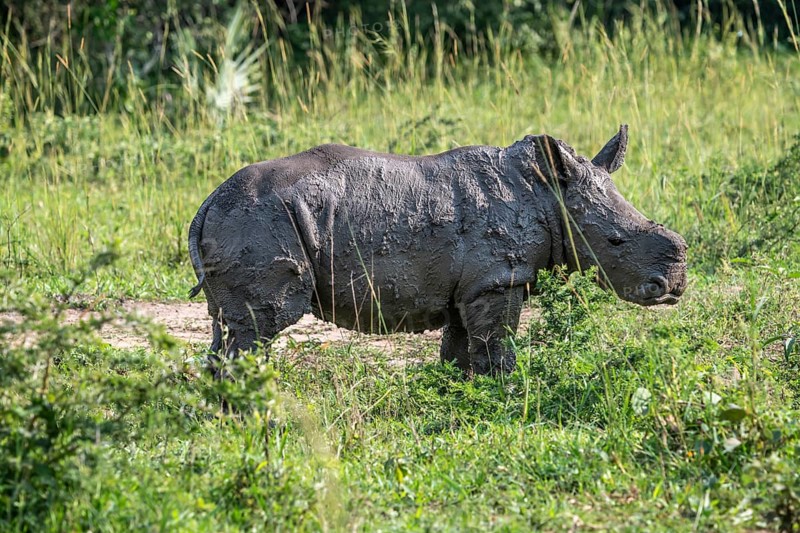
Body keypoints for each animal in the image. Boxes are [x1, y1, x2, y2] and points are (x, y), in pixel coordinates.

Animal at [188, 125, 687, 375]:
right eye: (615, 241)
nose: (674, 285)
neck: (548, 195)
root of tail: (207, 202)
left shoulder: (475, 285)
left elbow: (461, 347)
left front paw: (460, 392)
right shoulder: (497, 280)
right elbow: (496, 345)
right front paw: (505, 391)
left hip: (246, 217)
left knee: (234, 329)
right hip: (258, 221)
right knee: (262, 323)